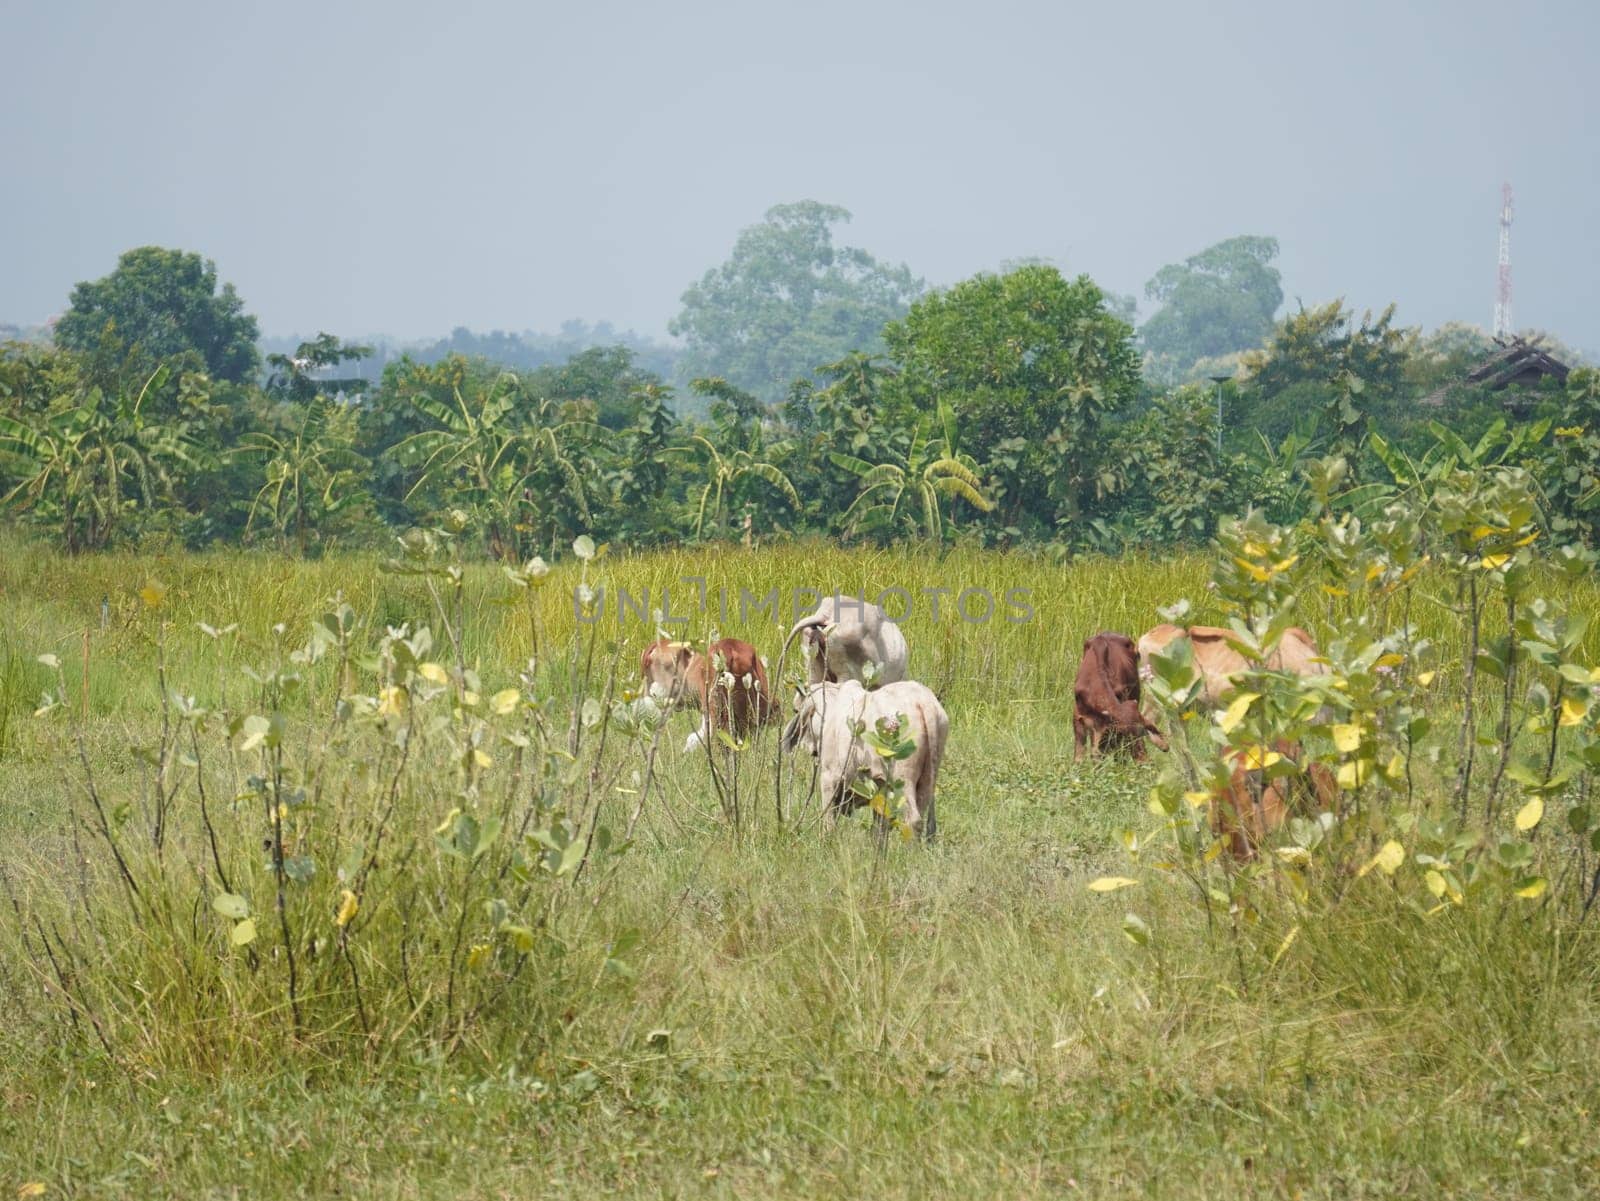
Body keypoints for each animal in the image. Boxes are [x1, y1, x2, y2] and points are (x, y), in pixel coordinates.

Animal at [777, 681, 940, 837]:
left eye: (795, 710)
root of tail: (924, 703)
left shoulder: (829, 778)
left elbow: (828, 822)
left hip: (902, 780)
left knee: (914, 821)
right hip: (926, 780)